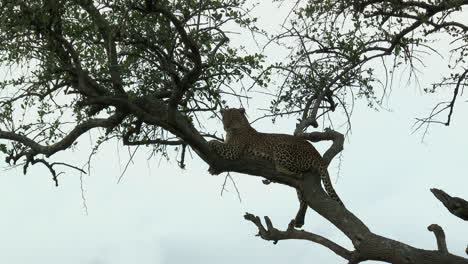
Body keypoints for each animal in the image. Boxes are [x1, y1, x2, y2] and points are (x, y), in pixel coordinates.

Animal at [209, 107, 344, 204]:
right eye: (224, 119)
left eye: (233, 118)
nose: (225, 126)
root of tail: (317, 154)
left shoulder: (233, 150)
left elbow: (216, 142)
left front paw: (210, 142)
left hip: (281, 147)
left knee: (287, 169)